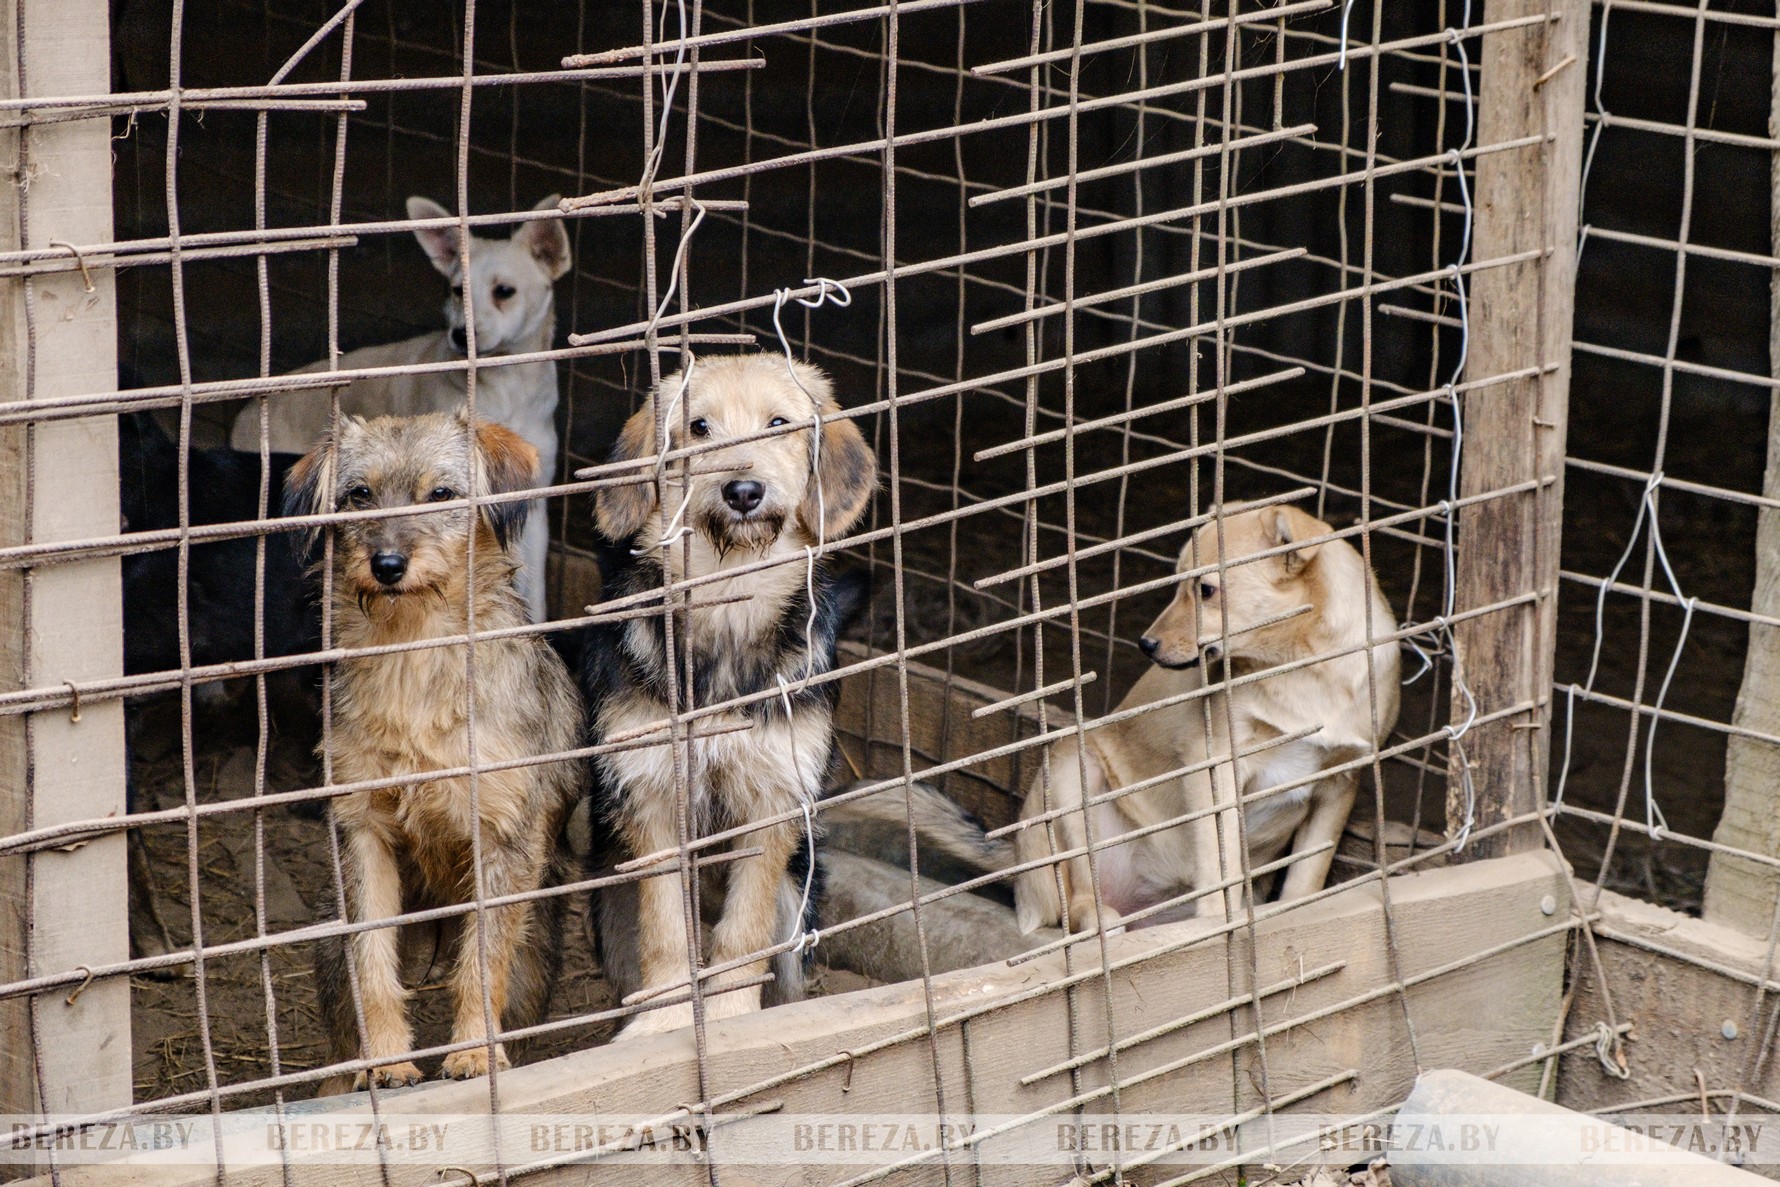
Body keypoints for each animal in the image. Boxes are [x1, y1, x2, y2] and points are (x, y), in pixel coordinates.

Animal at [226, 194, 566, 622]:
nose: (460, 335)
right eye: (457, 290)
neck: (506, 386)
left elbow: (534, 593)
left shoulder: (532, 507)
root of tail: (248, 413)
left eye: (504, 291)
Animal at [286, 412, 583, 1089]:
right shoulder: (363, 832)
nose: (388, 563)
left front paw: (474, 1052)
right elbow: (372, 964)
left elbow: (480, 967)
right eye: (359, 495)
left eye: (441, 494)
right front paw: (388, 1061)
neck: (413, 656)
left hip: (536, 948)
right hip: (331, 948)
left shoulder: (502, 839)